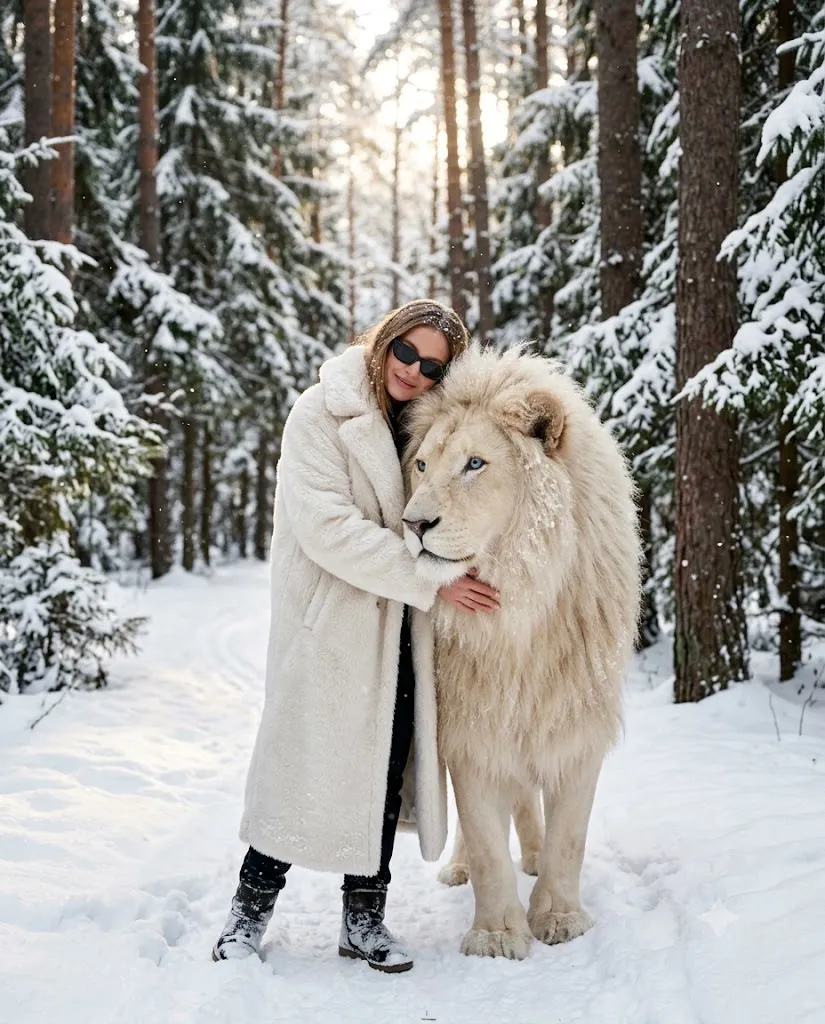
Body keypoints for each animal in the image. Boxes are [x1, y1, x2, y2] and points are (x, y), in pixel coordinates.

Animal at [401, 346, 641, 960]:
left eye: (475, 464)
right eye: (422, 466)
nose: (414, 524)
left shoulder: (575, 719)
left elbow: (569, 836)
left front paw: (558, 918)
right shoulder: (472, 725)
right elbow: (487, 841)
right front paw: (496, 936)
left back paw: (531, 858)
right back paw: (458, 868)